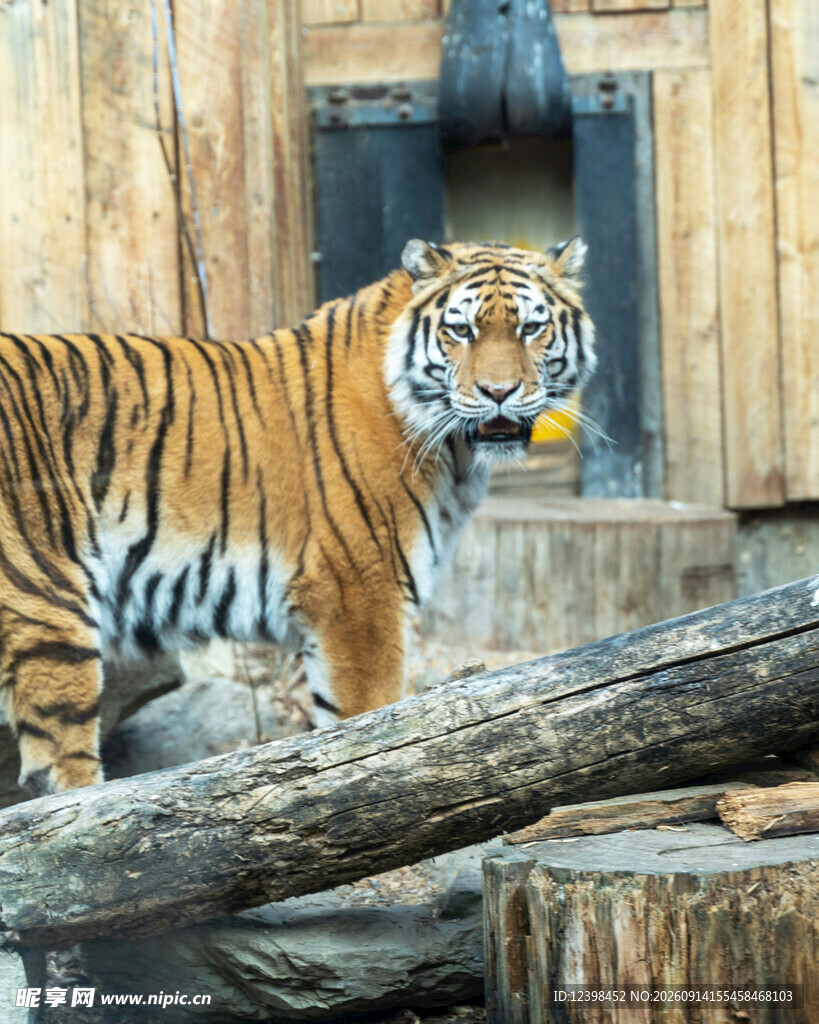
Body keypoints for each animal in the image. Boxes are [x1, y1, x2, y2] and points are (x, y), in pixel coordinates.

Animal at [0, 237, 595, 796]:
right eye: (462, 331)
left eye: (532, 328)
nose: (499, 393)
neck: (455, 451)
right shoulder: (360, 593)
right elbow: (369, 729)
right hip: (46, 601)